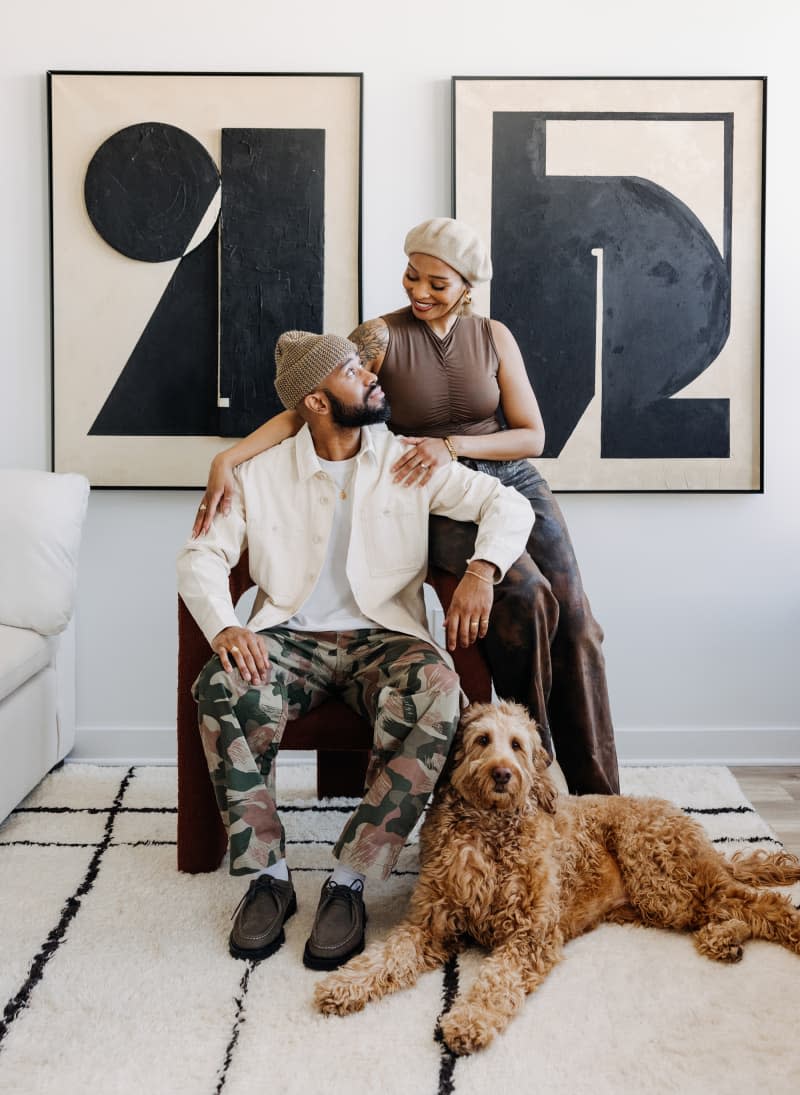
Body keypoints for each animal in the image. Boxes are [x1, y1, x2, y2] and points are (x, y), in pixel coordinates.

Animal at [315, 700, 800, 1051]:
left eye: (516, 745)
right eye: (482, 740)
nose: (502, 774)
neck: (489, 829)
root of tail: (688, 827)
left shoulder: (530, 934)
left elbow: (497, 981)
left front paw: (468, 1021)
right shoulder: (430, 923)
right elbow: (386, 955)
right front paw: (345, 985)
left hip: (660, 877)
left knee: (758, 902)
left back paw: (776, 931)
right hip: (660, 901)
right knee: (728, 909)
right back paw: (725, 940)